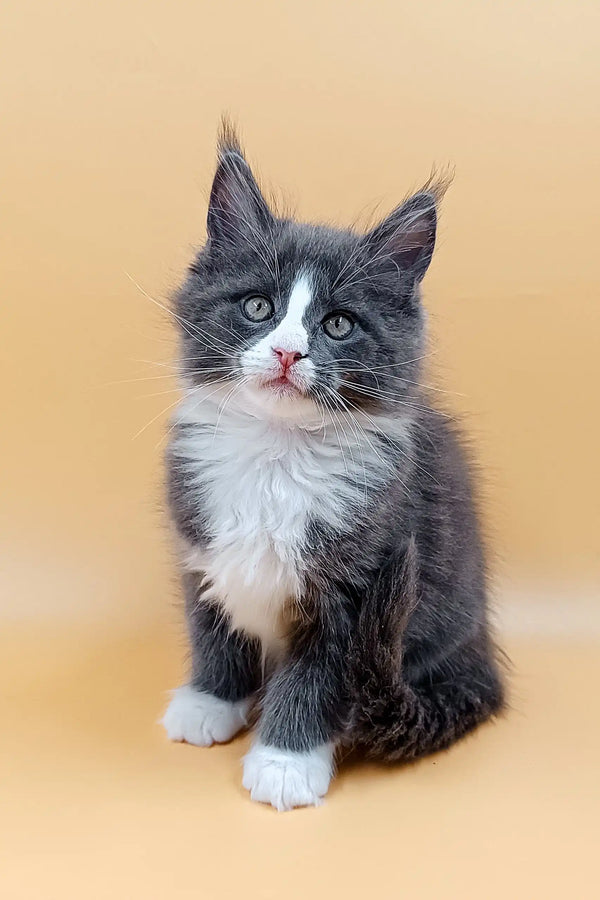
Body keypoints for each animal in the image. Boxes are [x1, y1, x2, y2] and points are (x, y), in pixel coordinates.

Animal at [162, 125, 504, 808]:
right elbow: (212, 625)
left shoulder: (357, 588)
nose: (289, 352)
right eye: (258, 308)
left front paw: (285, 761)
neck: (275, 455)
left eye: (339, 324)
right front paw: (211, 701)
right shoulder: (200, 547)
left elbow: (315, 680)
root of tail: (482, 658)